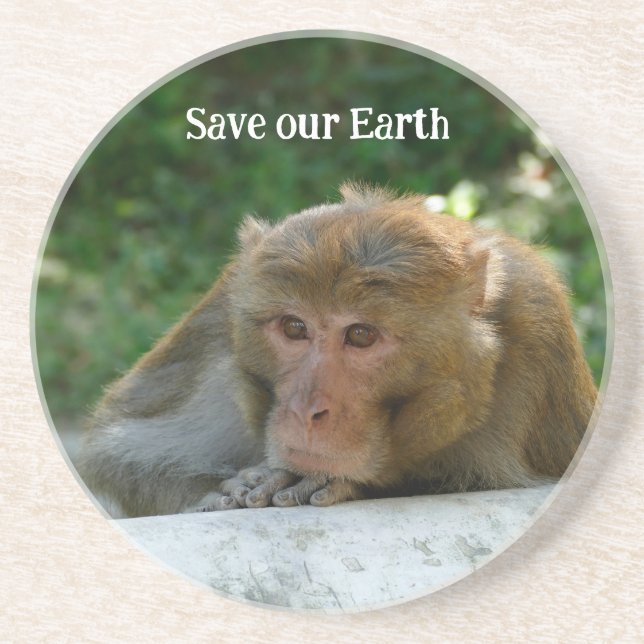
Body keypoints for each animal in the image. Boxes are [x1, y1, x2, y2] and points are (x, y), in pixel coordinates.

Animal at [76, 184, 598, 518]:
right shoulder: (220, 317)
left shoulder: (536, 324)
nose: (307, 410)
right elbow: (117, 453)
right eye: (294, 327)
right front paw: (219, 492)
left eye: (361, 335)